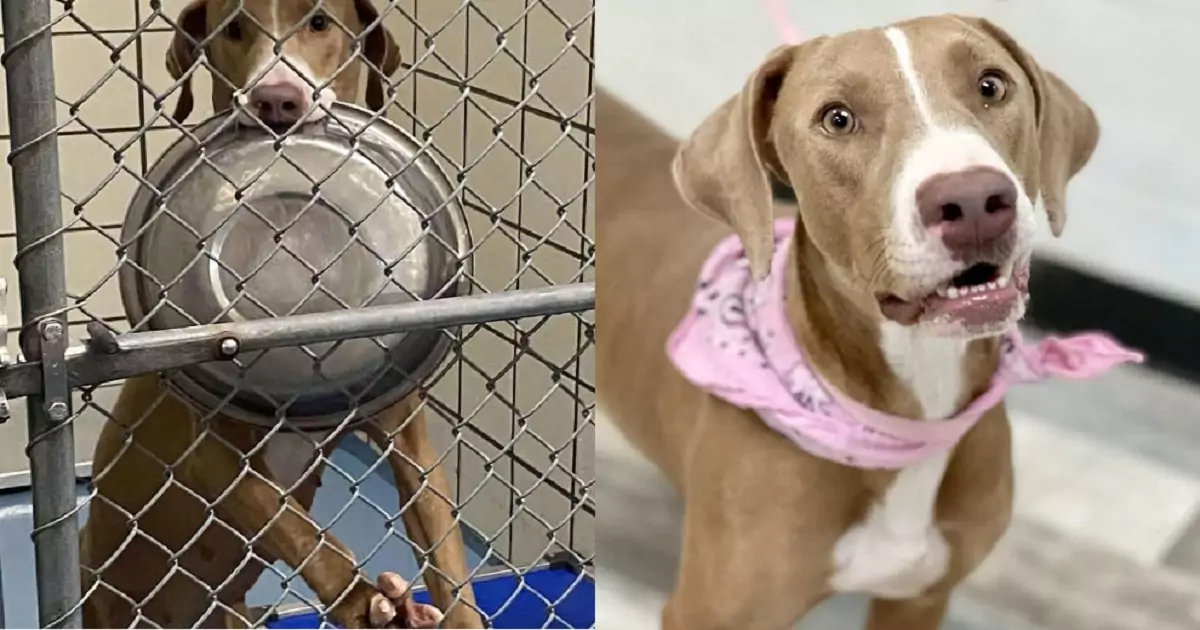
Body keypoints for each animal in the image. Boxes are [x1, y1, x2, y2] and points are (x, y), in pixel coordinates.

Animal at [78, 1, 482, 628]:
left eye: (319, 22)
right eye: (233, 29)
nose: (276, 100)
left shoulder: (410, 441)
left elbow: (448, 558)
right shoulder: (212, 457)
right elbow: (299, 530)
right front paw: (363, 602)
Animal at [600, 14, 1099, 628]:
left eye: (991, 85)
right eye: (837, 119)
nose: (973, 200)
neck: (915, 408)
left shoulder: (918, 598)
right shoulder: (710, 614)